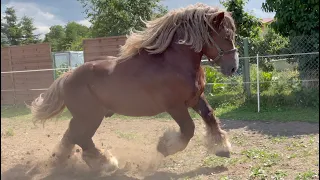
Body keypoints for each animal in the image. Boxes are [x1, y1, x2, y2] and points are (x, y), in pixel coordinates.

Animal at [30, 3, 238, 173]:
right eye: (225, 36)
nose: (233, 67)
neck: (174, 63)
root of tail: (67, 77)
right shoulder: (175, 106)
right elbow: (188, 129)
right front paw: (165, 147)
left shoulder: (195, 99)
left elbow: (209, 116)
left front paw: (222, 148)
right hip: (90, 117)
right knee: (81, 137)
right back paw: (106, 163)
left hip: (84, 117)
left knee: (71, 135)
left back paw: (61, 160)